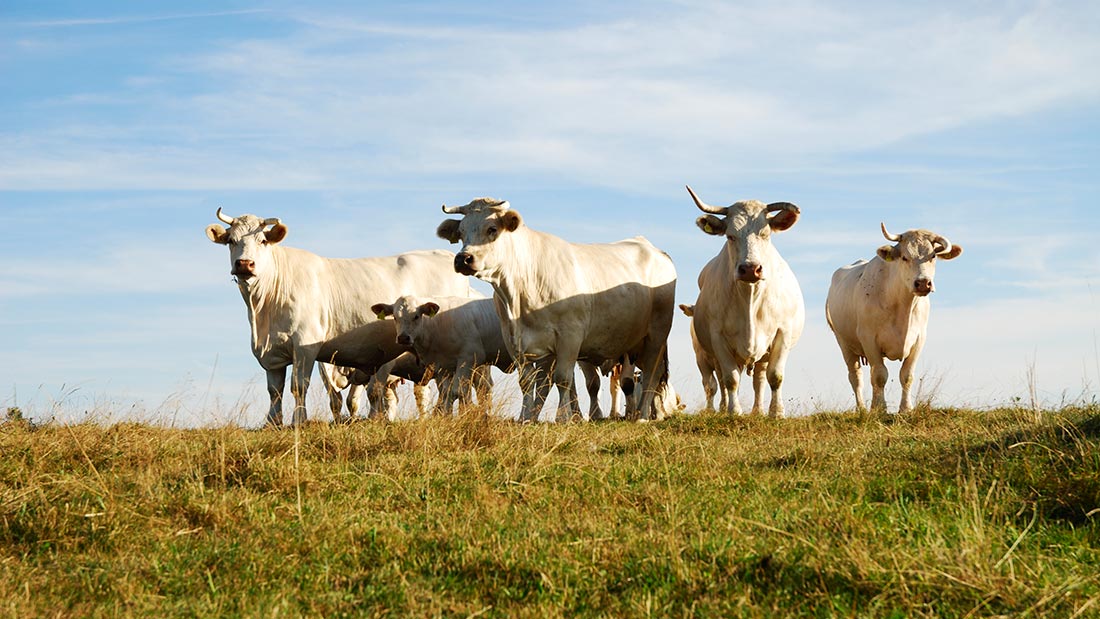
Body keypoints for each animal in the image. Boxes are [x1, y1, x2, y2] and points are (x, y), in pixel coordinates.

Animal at [206, 207, 473, 426]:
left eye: (262, 240)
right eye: (231, 241)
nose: (244, 264)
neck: (263, 313)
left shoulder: (305, 345)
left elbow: (298, 386)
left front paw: (299, 421)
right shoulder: (273, 352)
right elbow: (275, 390)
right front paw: (272, 423)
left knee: (451, 386)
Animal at [365, 294, 510, 415]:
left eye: (416, 316)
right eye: (395, 317)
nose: (403, 338)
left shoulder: (469, 358)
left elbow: (459, 392)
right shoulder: (443, 366)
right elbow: (446, 395)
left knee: (483, 389)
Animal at [433, 197, 673, 422]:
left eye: (492, 229)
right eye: (461, 232)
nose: (463, 259)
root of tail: (654, 249)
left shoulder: (570, 336)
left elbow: (562, 379)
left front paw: (564, 418)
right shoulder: (516, 341)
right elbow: (529, 383)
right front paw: (526, 417)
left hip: (656, 335)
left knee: (651, 375)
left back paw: (643, 414)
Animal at [682, 183, 805, 415]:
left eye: (766, 234)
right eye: (730, 236)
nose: (750, 269)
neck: (749, 297)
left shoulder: (782, 333)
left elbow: (775, 376)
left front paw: (777, 412)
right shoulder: (718, 338)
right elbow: (730, 379)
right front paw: (733, 411)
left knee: (760, 379)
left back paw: (758, 410)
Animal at [827, 219, 963, 413]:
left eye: (933, 257)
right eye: (905, 257)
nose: (923, 283)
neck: (902, 307)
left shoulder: (919, 339)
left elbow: (906, 375)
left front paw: (905, 408)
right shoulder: (869, 338)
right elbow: (879, 375)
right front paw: (879, 409)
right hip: (844, 342)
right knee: (855, 377)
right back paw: (862, 409)